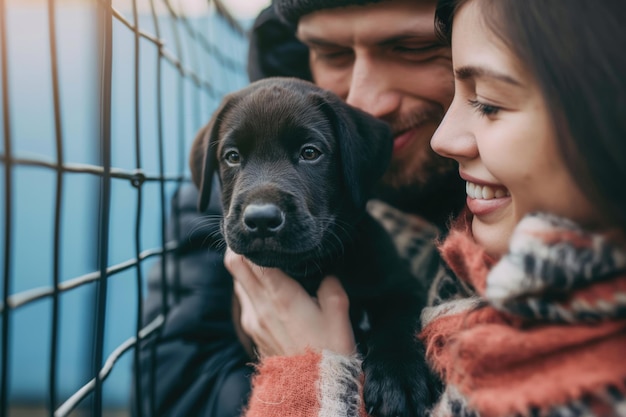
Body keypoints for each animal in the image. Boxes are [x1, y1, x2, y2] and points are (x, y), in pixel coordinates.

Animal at [189, 76, 434, 414]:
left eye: (310, 153)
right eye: (232, 156)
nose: (261, 218)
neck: (312, 269)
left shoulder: (401, 284)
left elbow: (397, 324)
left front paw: (399, 380)